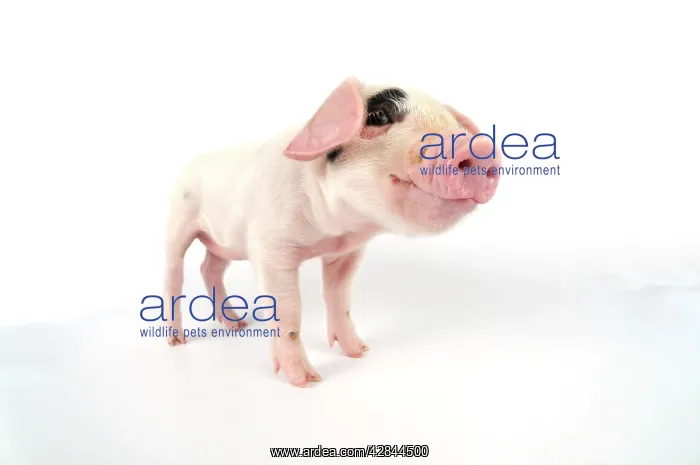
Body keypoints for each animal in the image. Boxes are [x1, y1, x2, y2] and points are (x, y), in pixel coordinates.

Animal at [162, 76, 501, 387]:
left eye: (452, 123)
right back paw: (177, 340)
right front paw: (308, 380)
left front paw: (360, 351)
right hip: (178, 219)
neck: (331, 230)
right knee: (174, 274)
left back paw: (238, 325)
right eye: (379, 116)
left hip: (224, 243)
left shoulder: (347, 251)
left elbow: (340, 298)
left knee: (210, 267)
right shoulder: (270, 245)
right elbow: (288, 308)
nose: (480, 146)